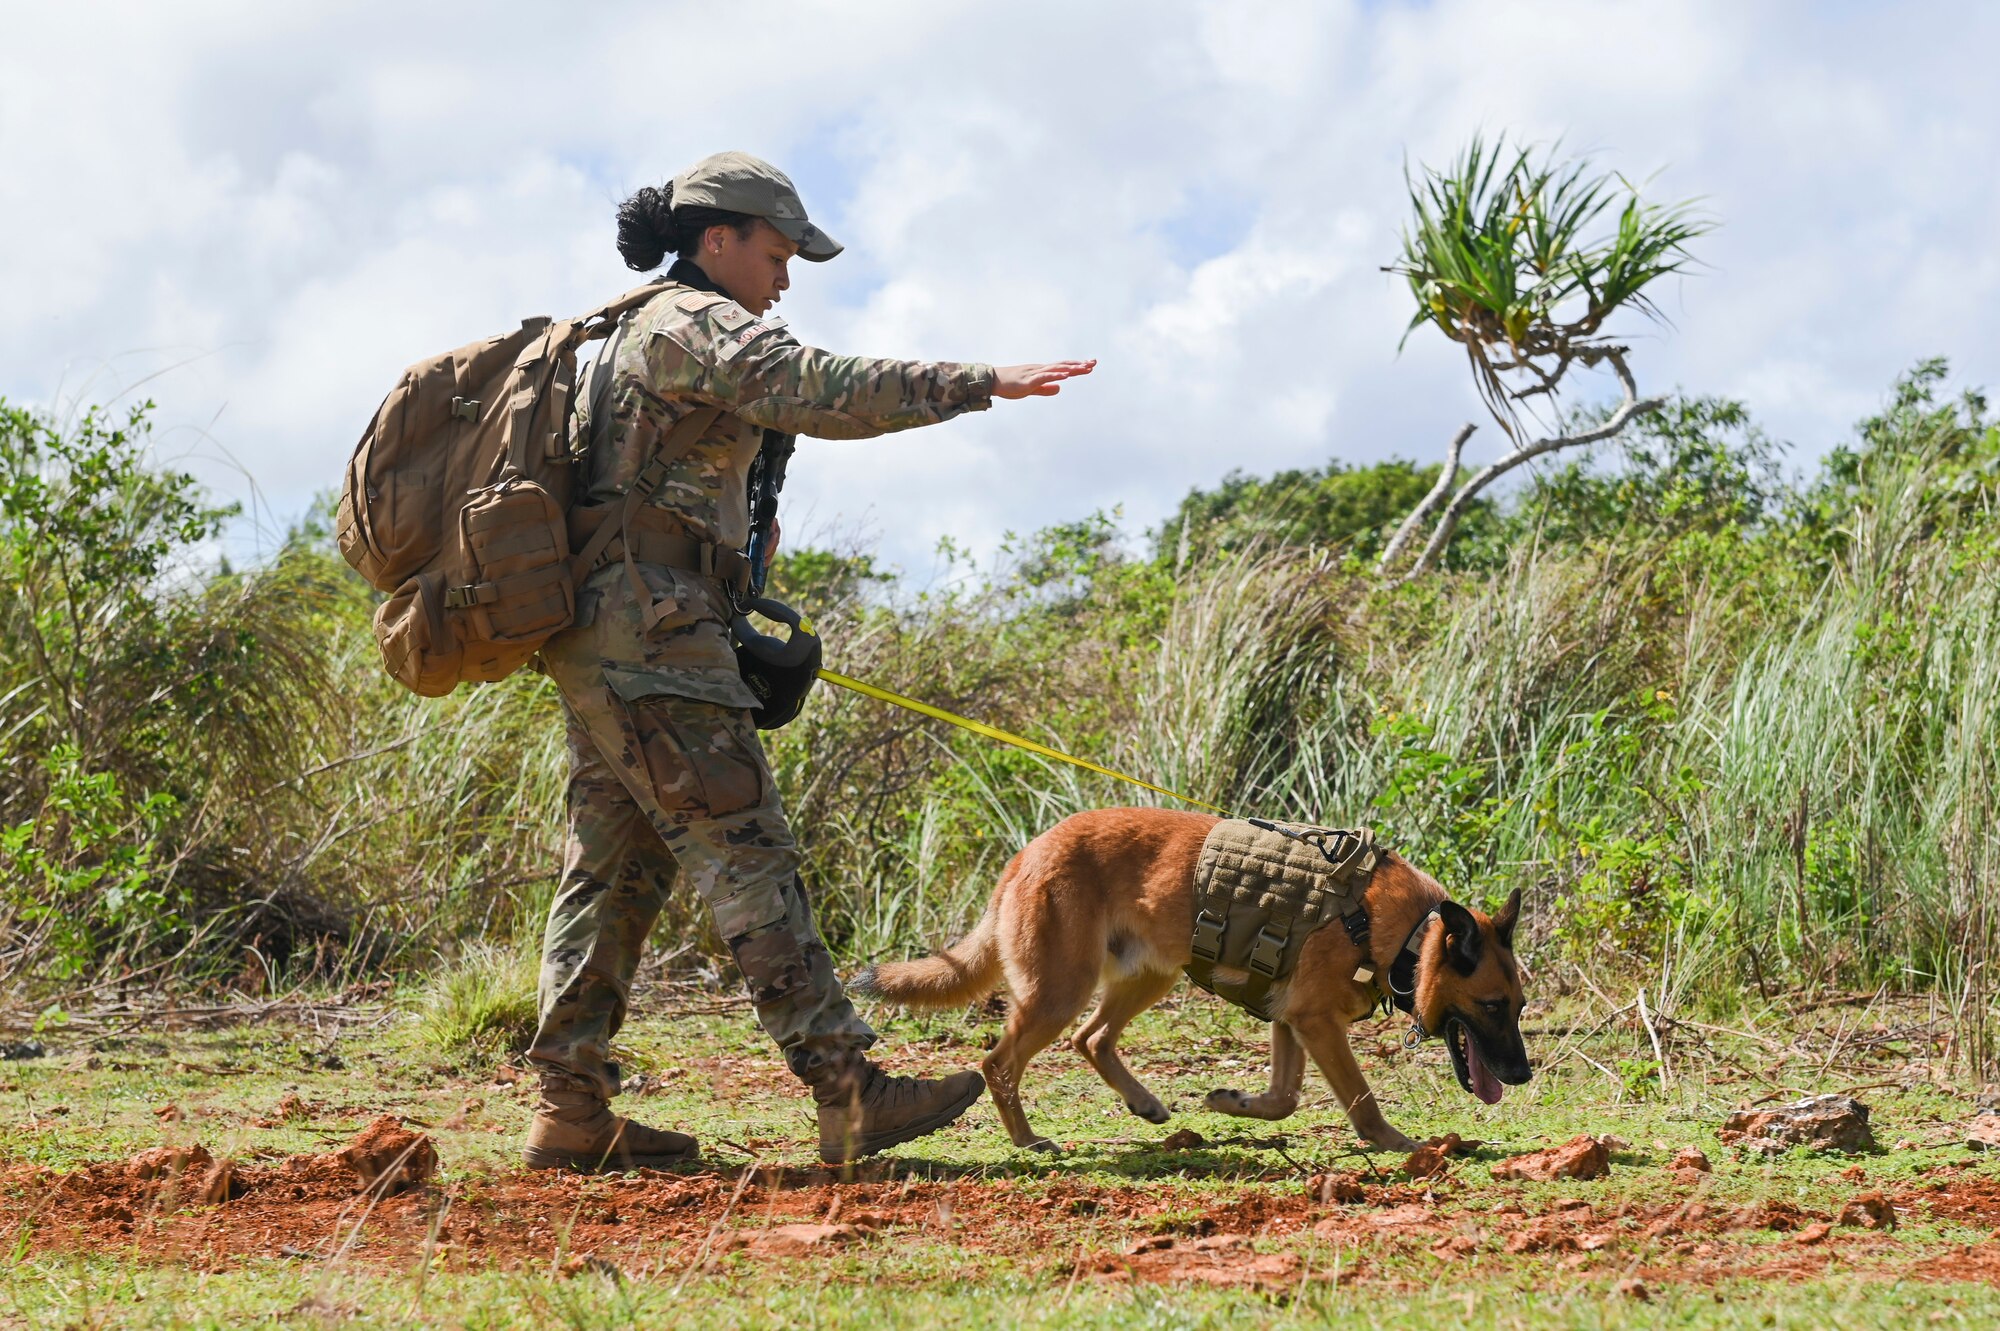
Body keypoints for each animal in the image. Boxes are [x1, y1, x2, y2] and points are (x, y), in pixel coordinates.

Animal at [848, 803, 1528, 1143]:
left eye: (1520, 1009)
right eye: (1493, 1007)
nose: (1522, 1077)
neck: (1406, 930)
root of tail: (1026, 854)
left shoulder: (1290, 1017)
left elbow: (1283, 1098)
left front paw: (1232, 1102)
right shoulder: (1315, 1021)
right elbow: (1360, 1099)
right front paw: (1397, 1144)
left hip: (1149, 977)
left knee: (1090, 1038)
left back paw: (1143, 1103)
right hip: (1060, 990)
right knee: (999, 1062)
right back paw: (1026, 1139)